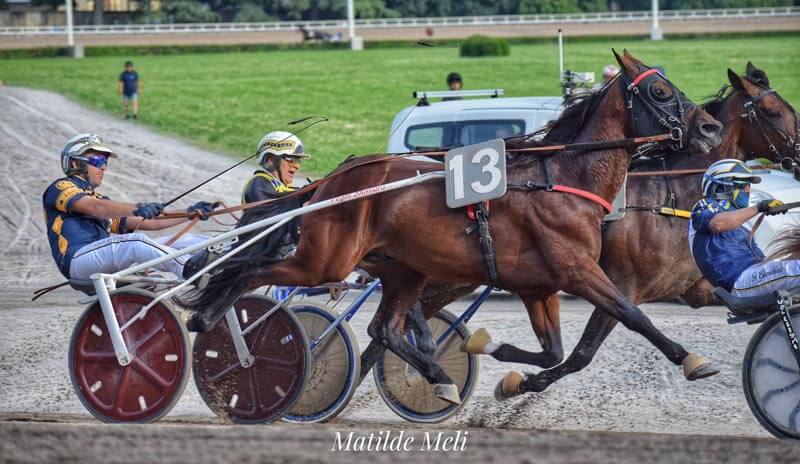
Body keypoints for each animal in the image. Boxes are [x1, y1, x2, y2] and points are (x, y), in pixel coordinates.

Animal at [183, 50, 724, 404]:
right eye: (660, 90)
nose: (709, 128)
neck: (563, 181)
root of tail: (335, 180)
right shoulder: (578, 271)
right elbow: (632, 316)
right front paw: (693, 359)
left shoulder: (540, 287)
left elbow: (554, 353)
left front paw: (489, 349)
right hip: (325, 259)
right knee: (251, 272)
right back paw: (207, 317)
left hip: (403, 269)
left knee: (384, 327)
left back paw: (437, 375)